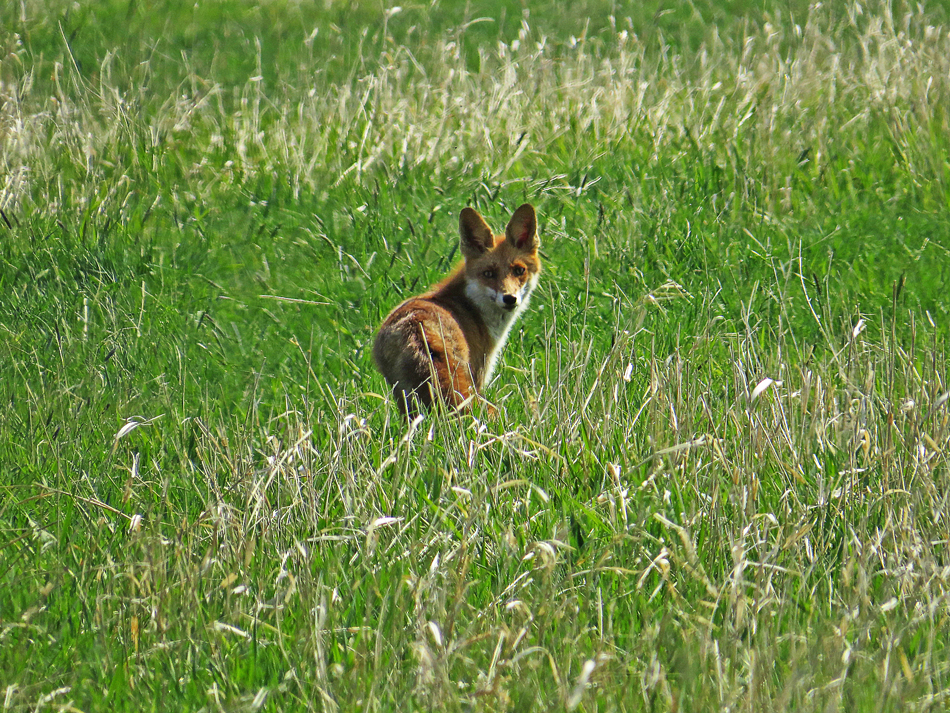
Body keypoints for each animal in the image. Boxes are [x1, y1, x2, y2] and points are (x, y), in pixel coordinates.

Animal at [374, 203, 544, 414]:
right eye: (488, 273)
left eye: (519, 270)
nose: (509, 298)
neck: (471, 306)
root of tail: (417, 328)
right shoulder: (479, 373)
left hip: (405, 398)